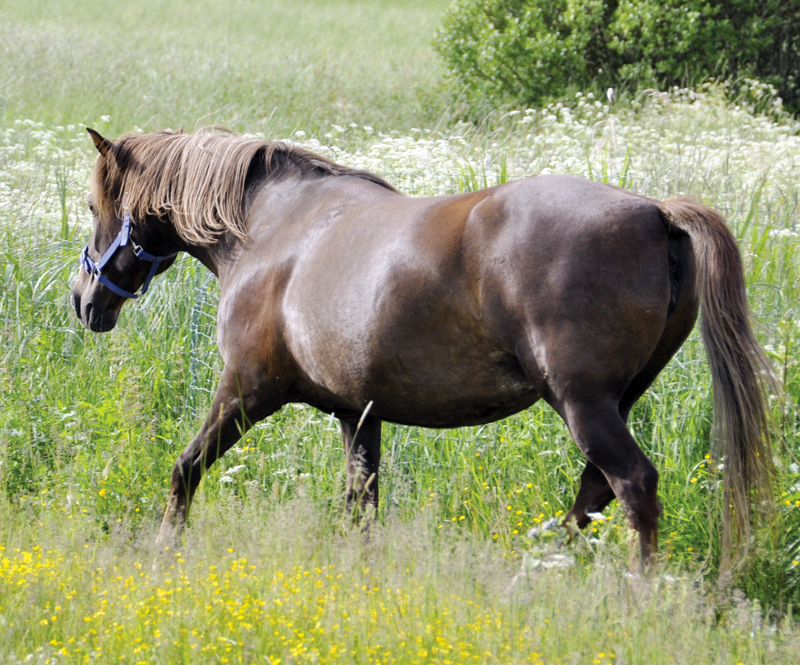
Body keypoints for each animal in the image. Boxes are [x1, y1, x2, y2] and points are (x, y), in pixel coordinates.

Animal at [71, 127, 775, 569]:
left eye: (94, 204)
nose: (84, 299)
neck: (274, 231)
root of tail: (655, 211)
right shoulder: (358, 415)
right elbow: (361, 506)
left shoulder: (247, 388)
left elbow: (184, 470)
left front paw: (163, 553)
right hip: (614, 403)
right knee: (594, 492)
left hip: (584, 404)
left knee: (631, 486)